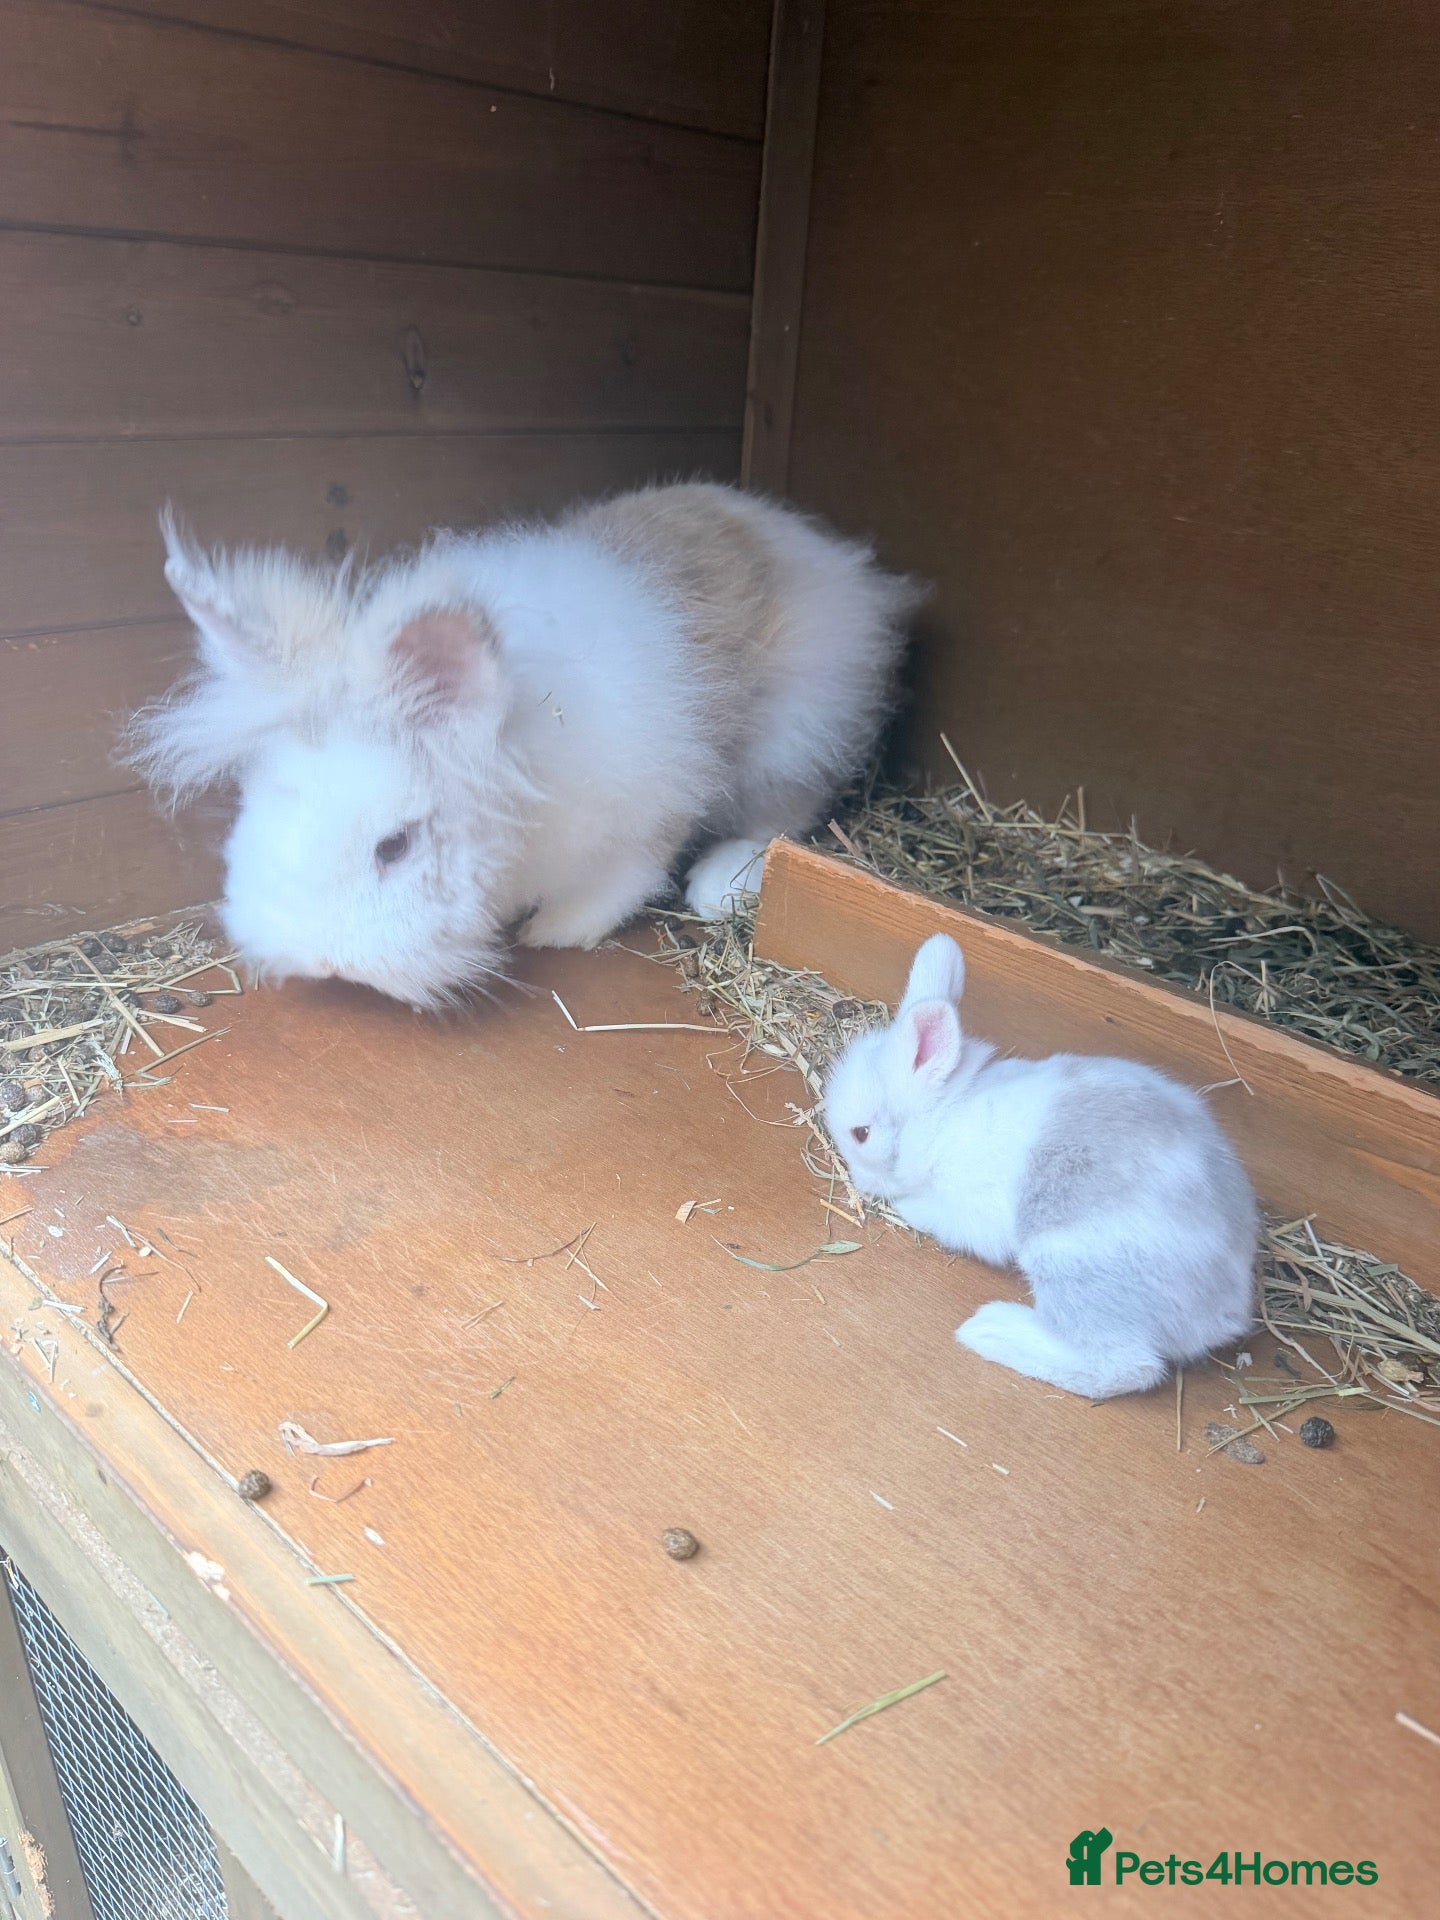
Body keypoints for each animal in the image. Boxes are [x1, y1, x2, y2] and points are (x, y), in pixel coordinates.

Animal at [127, 483, 916, 1008]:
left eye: (395, 846)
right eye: (253, 812)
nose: (321, 960)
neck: (515, 767)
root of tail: (841, 564)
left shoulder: (645, 810)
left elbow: (629, 875)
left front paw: (556, 932)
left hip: (799, 730)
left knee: (788, 810)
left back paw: (720, 884)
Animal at [824, 934, 1259, 1398]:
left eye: (861, 1134)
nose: (859, 1183)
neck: (944, 1121)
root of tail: (1225, 1312)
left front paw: (906, 1206)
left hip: (1071, 1262)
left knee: (1125, 1366)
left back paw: (988, 1329)